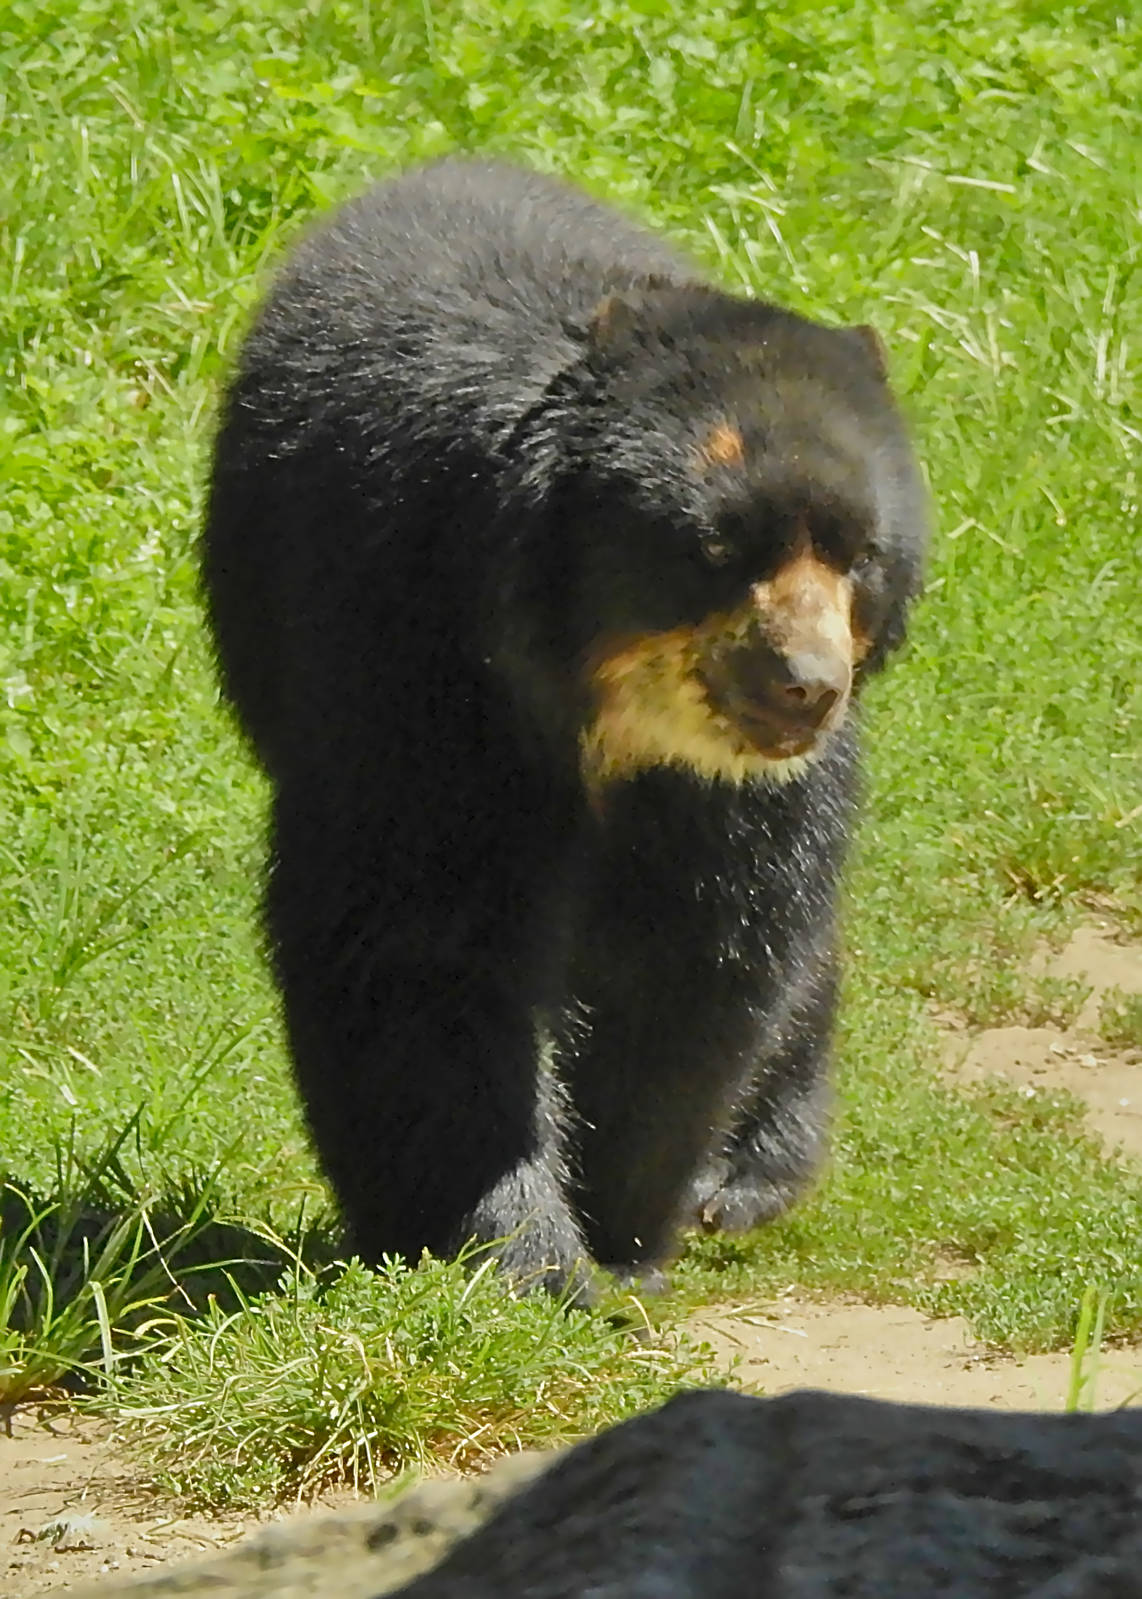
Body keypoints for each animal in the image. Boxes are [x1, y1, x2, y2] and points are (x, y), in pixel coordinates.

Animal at [201, 157, 928, 1296]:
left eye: (858, 553)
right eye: (718, 547)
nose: (802, 687)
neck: (612, 712)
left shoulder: (728, 794)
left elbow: (699, 948)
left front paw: (627, 1230)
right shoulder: (415, 654)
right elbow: (420, 934)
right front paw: (518, 1252)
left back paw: (749, 1179)